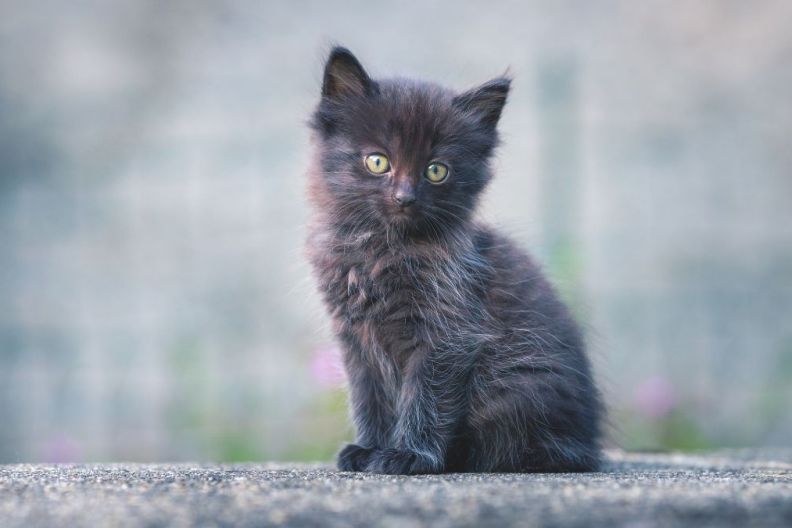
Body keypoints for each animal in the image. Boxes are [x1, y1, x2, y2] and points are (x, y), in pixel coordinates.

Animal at [306, 46, 604, 474]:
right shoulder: (355, 339)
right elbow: (369, 398)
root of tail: (589, 445)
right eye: (378, 161)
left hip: (519, 384)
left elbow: (425, 397)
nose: (405, 198)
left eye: (436, 170)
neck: (381, 249)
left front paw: (409, 455)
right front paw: (368, 448)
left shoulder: (448, 332)